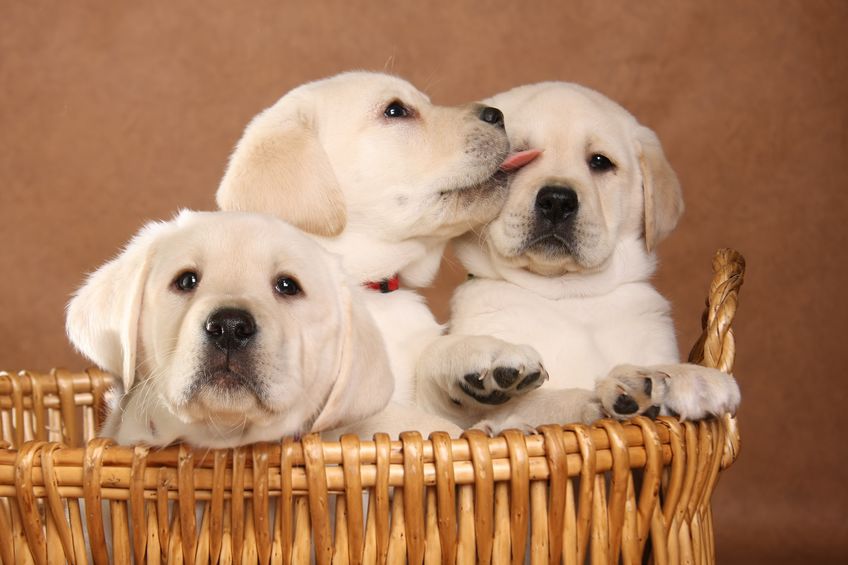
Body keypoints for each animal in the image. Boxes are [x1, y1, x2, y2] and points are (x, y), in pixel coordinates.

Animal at [217, 70, 524, 432]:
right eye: (396, 111)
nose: (498, 115)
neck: (369, 289)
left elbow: (433, 359)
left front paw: (487, 354)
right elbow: (423, 425)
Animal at [414, 81, 740, 430]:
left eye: (599, 162)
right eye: (518, 158)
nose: (557, 201)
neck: (568, 293)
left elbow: (660, 363)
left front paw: (690, 376)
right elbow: (551, 401)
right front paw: (616, 391)